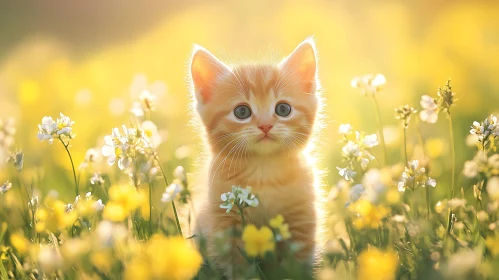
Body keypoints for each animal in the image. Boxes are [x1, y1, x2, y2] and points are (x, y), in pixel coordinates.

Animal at [188, 37, 324, 274]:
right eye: (242, 112)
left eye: (283, 109)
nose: (265, 125)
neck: (264, 172)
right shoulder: (226, 227)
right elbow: (238, 268)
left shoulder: (301, 221)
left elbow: (296, 265)